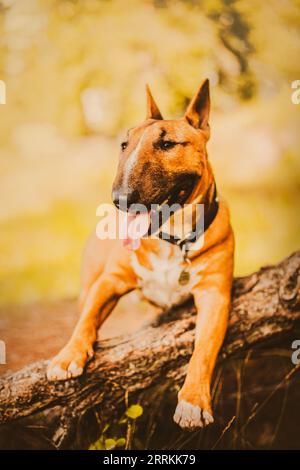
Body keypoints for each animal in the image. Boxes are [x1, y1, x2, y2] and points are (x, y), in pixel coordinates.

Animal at [47, 80, 234, 430]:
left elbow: (204, 349)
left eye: (168, 143)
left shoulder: (215, 295)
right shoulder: (109, 282)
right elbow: (87, 319)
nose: (120, 199)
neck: (172, 240)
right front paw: (67, 357)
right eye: (124, 144)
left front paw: (193, 402)